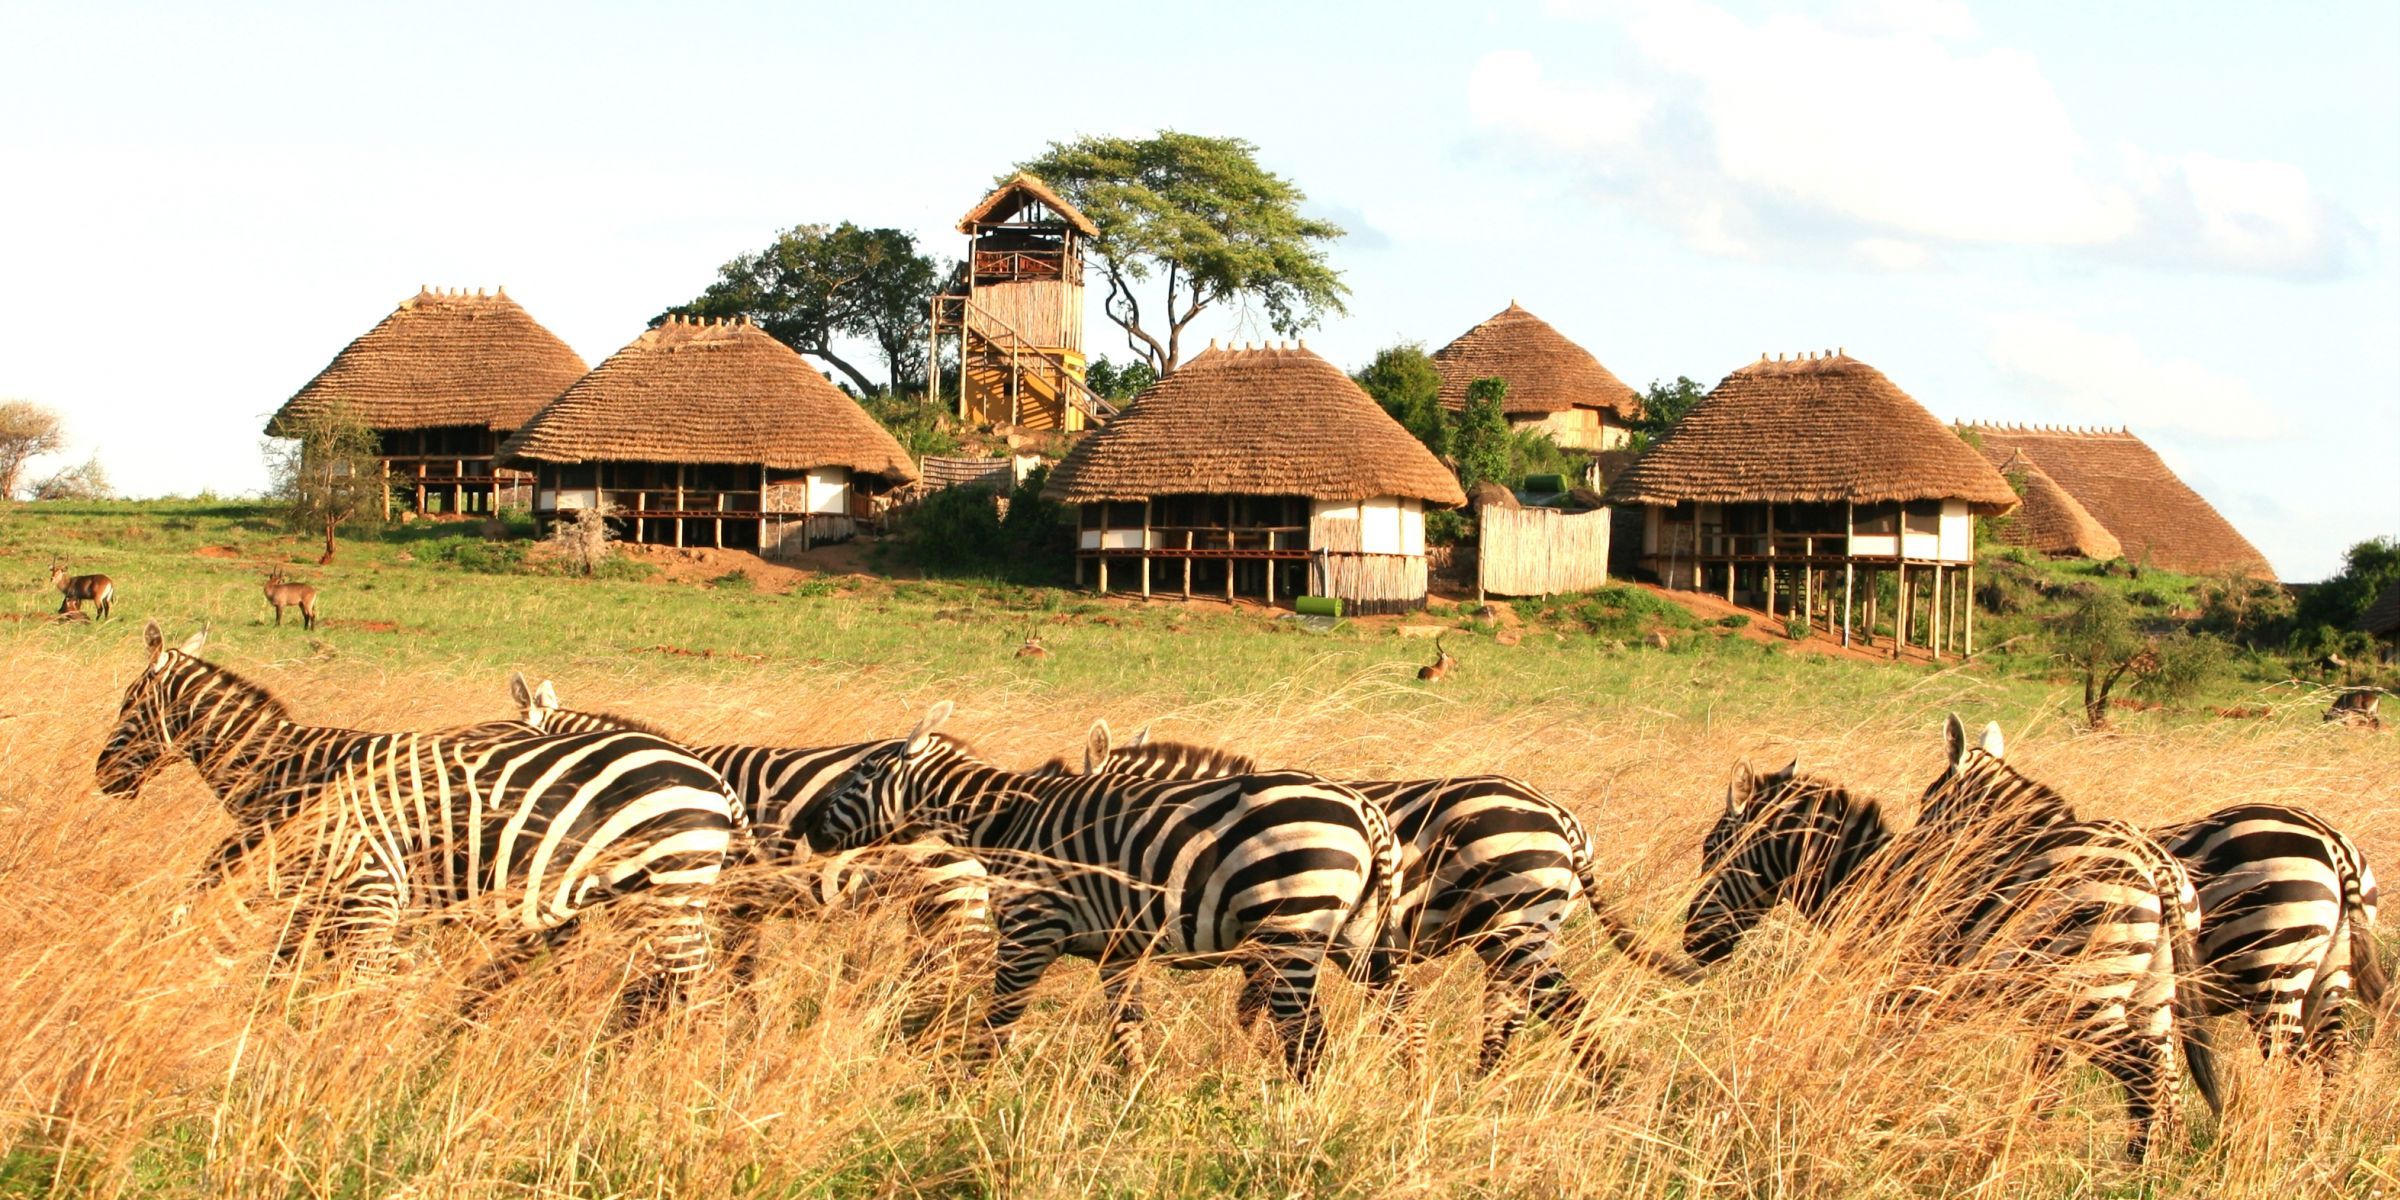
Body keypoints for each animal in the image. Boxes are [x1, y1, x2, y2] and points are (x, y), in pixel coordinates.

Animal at [96, 628, 739, 1012]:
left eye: (128, 704)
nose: (102, 777)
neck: (287, 769)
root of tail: (711, 777)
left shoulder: (363, 885)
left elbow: (352, 978)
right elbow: (292, 969)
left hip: (668, 893)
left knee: (691, 985)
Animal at [801, 700, 1392, 1080]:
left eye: (860, 778)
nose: (806, 826)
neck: (1006, 818)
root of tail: (1365, 811)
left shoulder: (1029, 933)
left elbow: (998, 1024)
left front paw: (964, 1097)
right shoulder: (1118, 950)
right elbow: (1126, 1028)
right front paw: (1138, 1095)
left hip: (1290, 933)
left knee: (1307, 1037)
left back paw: (1296, 1118)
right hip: (1356, 939)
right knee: (1393, 1016)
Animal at [1060, 720, 1699, 1070]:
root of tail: (1561, 817)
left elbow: (1254, 1014)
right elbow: (1253, 1013)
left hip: (1516, 924)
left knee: (1564, 1009)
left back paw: (1601, 1092)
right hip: (1513, 934)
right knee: (1513, 1016)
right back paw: (1483, 1090)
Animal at [1689, 758, 2208, 1161]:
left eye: (1711, 850)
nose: (1691, 940)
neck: (1868, 880)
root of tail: (2154, 862)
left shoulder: (1898, 991)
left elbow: (1885, 1062)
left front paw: (1877, 1122)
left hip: (2085, 994)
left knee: (2144, 1069)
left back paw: (2135, 1166)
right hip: (2151, 991)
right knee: (2167, 1073)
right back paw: (2164, 1161)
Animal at [1929, 715, 2380, 1075]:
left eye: (1928, 804)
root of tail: (2333, 843)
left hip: (2273, 969)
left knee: (2291, 1062)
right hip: (2329, 971)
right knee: (2332, 1058)